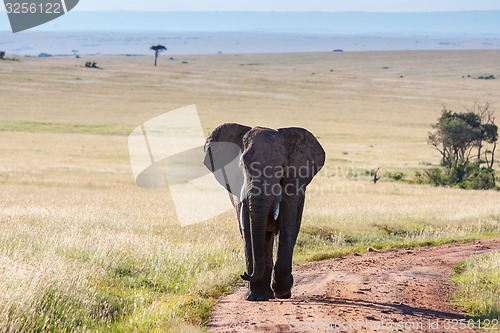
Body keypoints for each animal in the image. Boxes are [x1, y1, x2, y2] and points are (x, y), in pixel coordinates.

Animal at [202, 123, 324, 300]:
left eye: (282, 168)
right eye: (242, 166)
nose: (244, 274)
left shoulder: (293, 185)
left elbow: (287, 225)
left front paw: (282, 291)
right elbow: (247, 229)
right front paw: (255, 297)